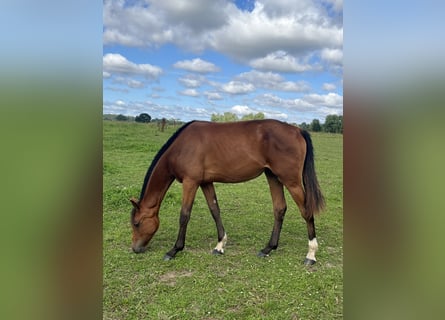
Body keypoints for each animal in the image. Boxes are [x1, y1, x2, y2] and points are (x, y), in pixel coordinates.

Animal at [130, 120, 324, 264]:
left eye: (137, 223)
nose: (135, 248)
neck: (182, 147)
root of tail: (298, 130)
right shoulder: (205, 182)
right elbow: (215, 211)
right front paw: (219, 245)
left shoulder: (190, 182)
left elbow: (184, 215)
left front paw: (174, 250)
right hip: (273, 177)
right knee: (280, 209)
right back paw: (268, 248)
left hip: (291, 181)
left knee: (306, 211)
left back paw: (311, 254)